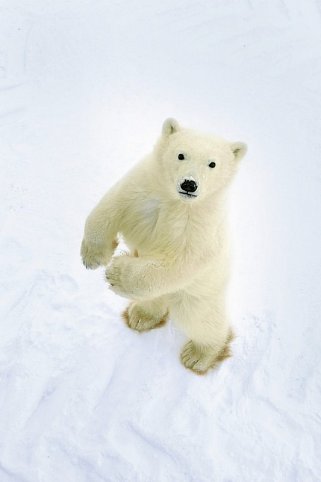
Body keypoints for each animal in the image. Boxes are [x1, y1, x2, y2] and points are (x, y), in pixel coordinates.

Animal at [81, 118, 246, 374]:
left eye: (212, 164)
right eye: (181, 155)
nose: (189, 184)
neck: (176, 203)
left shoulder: (199, 225)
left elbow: (182, 260)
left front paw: (116, 273)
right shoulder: (143, 186)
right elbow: (112, 204)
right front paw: (93, 256)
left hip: (199, 292)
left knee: (201, 320)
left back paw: (198, 355)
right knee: (154, 299)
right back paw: (139, 317)